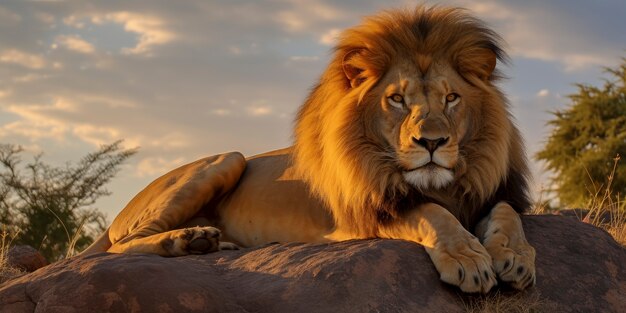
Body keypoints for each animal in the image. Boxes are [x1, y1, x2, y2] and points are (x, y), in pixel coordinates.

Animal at [80, 6, 532, 294]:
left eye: (451, 98)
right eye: (397, 100)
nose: (432, 142)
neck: (441, 184)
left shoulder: (494, 191)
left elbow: (507, 215)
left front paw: (515, 256)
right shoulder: (368, 209)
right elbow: (431, 214)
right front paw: (468, 259)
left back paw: (210, 242)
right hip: (229, 159)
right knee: (119, 247)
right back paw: (188, 240)